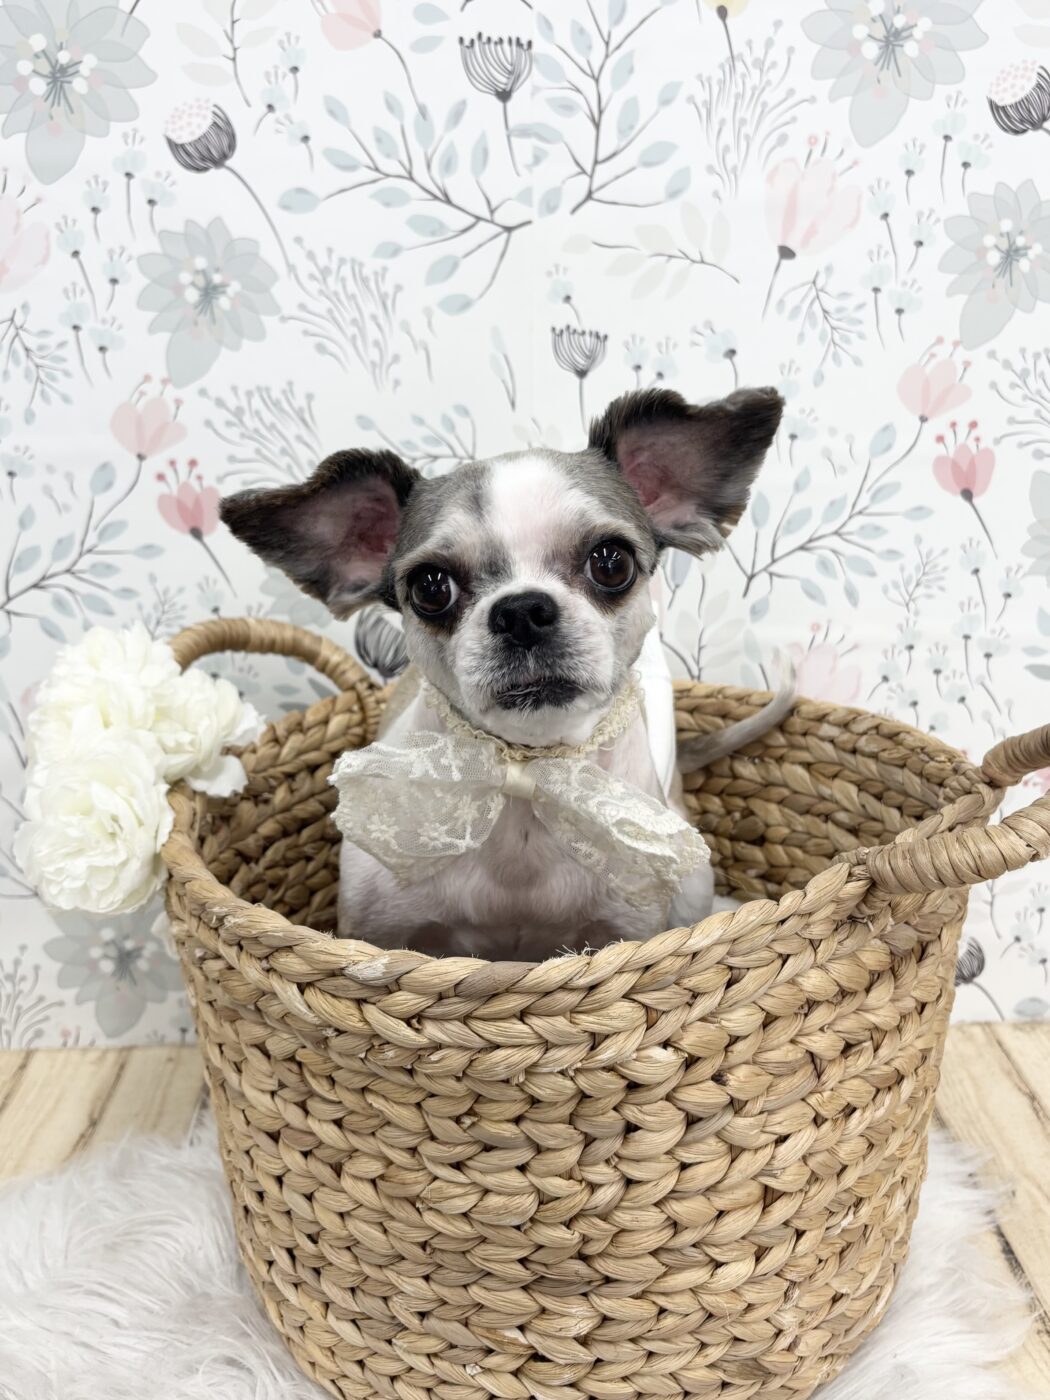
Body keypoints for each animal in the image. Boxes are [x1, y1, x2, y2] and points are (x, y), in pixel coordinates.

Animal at [221, 386, 790, 959]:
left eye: (612, 562)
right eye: (431, 587)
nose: (521, 612)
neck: (526, 768)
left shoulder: (628, 927)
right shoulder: (376, 931)